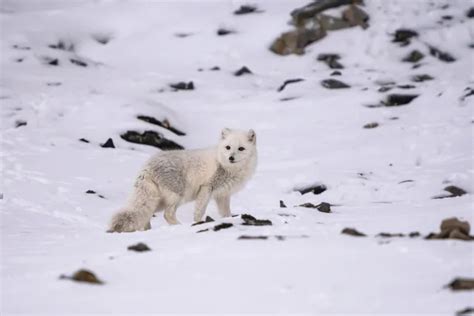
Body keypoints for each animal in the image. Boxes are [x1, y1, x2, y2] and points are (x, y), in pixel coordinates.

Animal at [108, 128, 258, 232]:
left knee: (147, 215)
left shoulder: (223, 195)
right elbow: (199, 211)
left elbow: (226, 213)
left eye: (241, 148)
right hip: (178, 196)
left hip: (158, 201)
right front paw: (198, 223)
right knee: (167, 214)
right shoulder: (206, 188)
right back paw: (179, 226)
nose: (231, 158)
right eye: (228, 147)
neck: (227, 167)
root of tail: (146, 167)